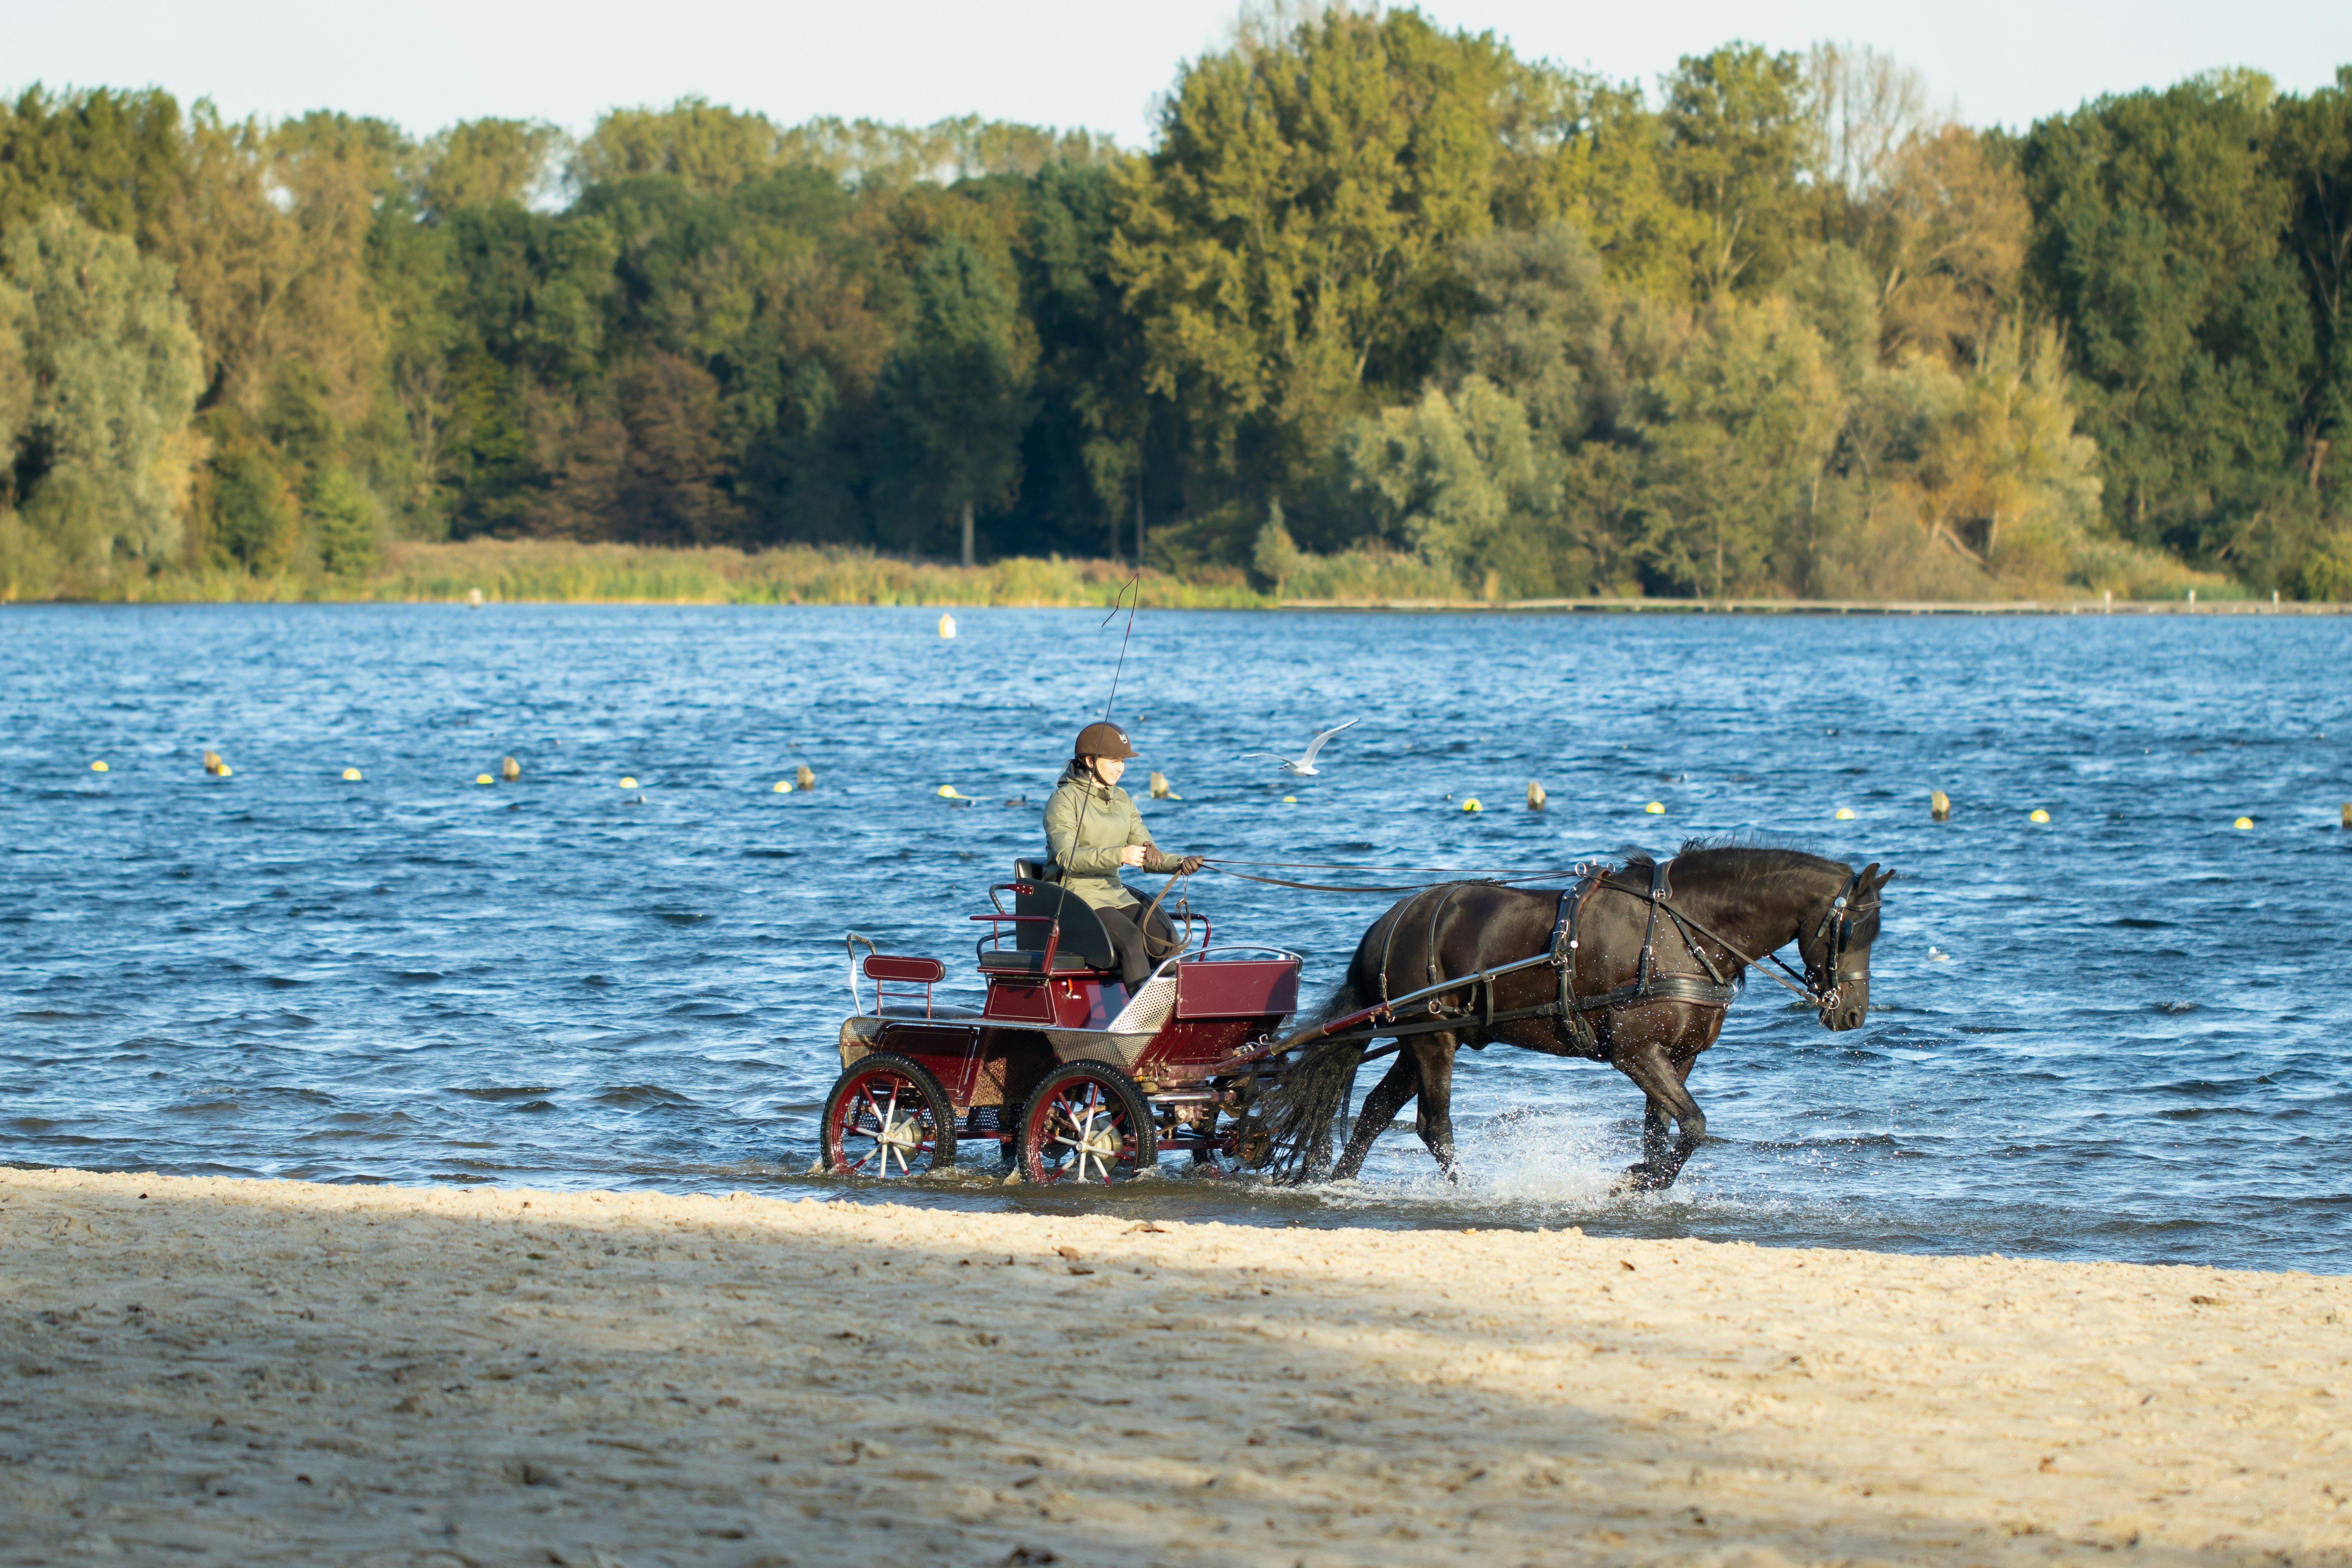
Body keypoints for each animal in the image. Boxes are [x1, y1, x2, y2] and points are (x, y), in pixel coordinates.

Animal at [1247, 845, 1893, 1190]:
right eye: (1851, 930)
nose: (1851, 1013)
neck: (1678, 926)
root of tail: (1391, 921)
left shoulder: (1676, 1057)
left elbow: (1663, 1130)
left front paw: (1644, 1180)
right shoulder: (1635, 1052)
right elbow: (1693, 1125)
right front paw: (1639, 1179)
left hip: (1422, 1037)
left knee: (1377, 1112)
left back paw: (1339, 1180)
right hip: (1432, 1040)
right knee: (1433, 1126)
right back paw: (1462, 1191)